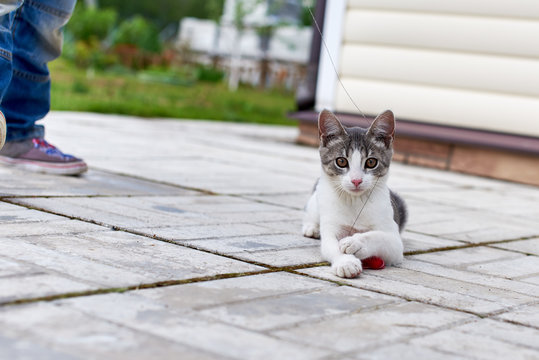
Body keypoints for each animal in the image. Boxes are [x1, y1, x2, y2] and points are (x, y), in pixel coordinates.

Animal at [302, 109, 408, 278]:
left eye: (371, 162)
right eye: (341, 161)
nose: (356, 180)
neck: (355, 201)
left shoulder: (395, 243)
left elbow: (380, 237)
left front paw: (356, 242)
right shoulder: (331, 227)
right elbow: (331, 246)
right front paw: (346, 263)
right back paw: (312, 228)